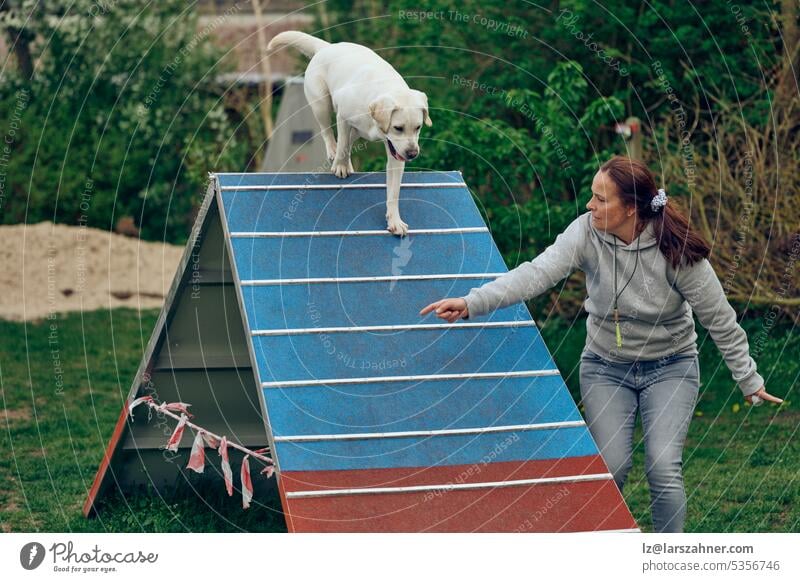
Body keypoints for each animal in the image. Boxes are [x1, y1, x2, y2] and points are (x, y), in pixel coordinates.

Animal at [268, 30, 432, 237]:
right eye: (398, 128)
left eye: (418, 127)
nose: (412, 154)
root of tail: (326, 46)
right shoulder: (343, 118)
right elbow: (343, 146)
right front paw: (340, 166)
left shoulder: (395, 155)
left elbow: (394, 192)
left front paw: (394, 221)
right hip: (321, 104)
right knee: (328, 133)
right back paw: (333, 152)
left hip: (359, 131)